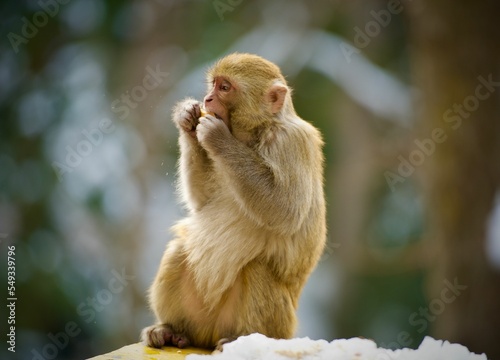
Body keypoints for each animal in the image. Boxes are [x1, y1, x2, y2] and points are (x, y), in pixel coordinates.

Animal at [142, 52, 328, 348]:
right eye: (213, 85)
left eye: (225, 87)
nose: (207, 99)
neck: (254, 134)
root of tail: (207, 336)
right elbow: (203, 200)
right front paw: (187, 119)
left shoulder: (290, 142)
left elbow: (285, 211)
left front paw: (217, 137)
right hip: (201, 318)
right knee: (180, 249)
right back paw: (172, 330)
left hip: (278, 326)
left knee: (257, 268)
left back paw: (241, 338)